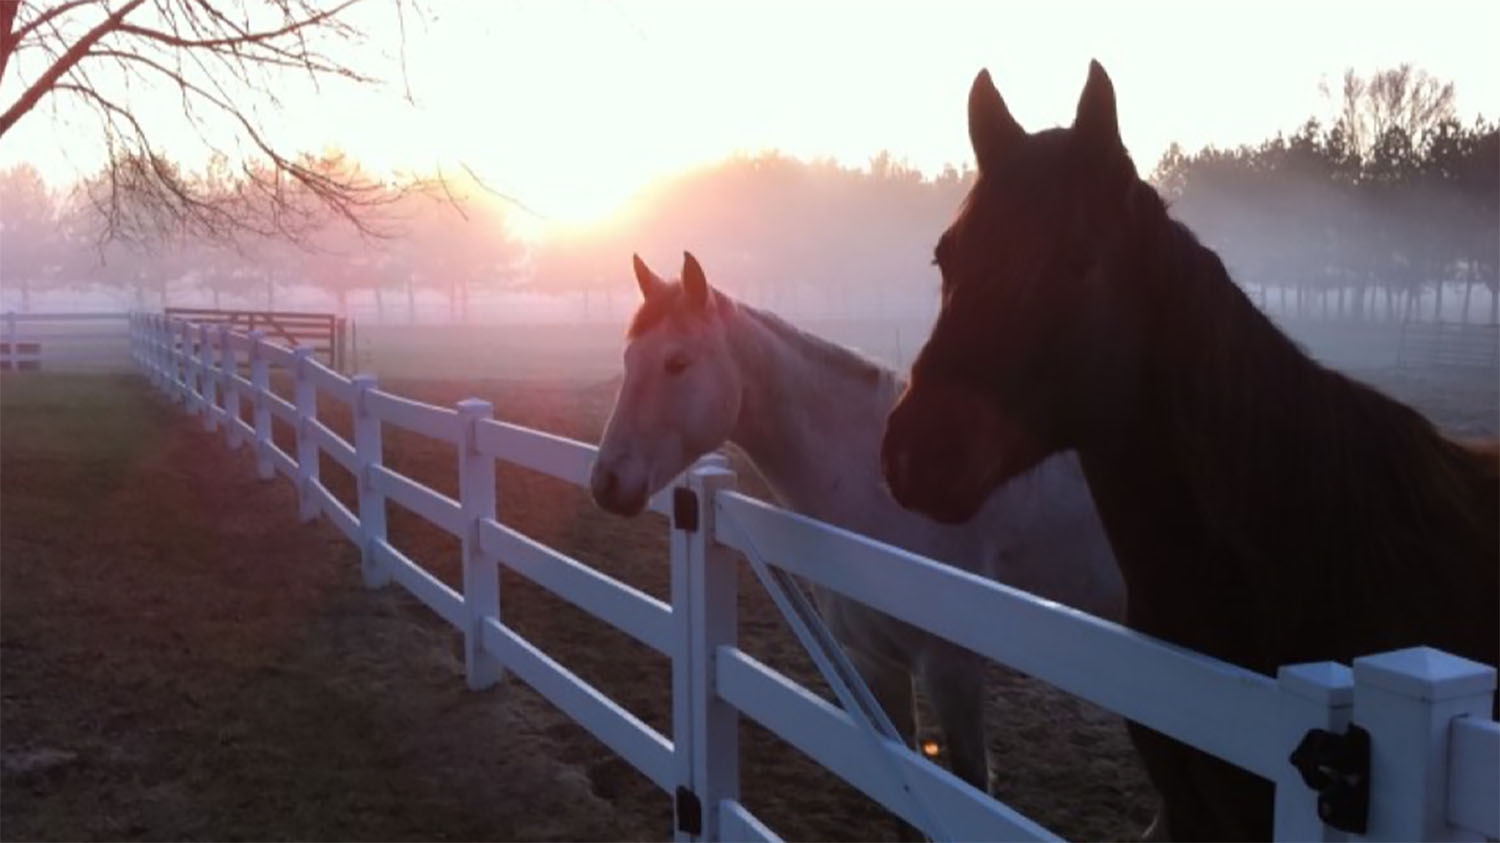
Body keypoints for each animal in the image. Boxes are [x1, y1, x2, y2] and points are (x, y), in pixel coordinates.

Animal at [589, 250, 1124, 803]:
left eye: (677, 362)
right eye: (628, 360)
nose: (606, 482)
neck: (880, 486)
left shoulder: (952, 669)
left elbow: (970, 783)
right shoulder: (874, 662)